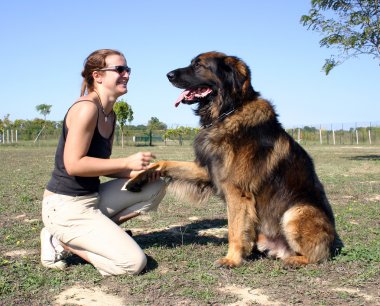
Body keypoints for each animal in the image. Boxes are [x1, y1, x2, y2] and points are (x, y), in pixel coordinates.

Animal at [127, 51, 342, 266]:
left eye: (198, 65)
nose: (168, 75)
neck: (227, 112)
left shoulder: (237, 191)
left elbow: (234, 229)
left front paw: (232, 259)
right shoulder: (207, 170)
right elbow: (164, 163)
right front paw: (137, 179)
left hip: (296, 211)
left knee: (317, 256)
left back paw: (292, 261)